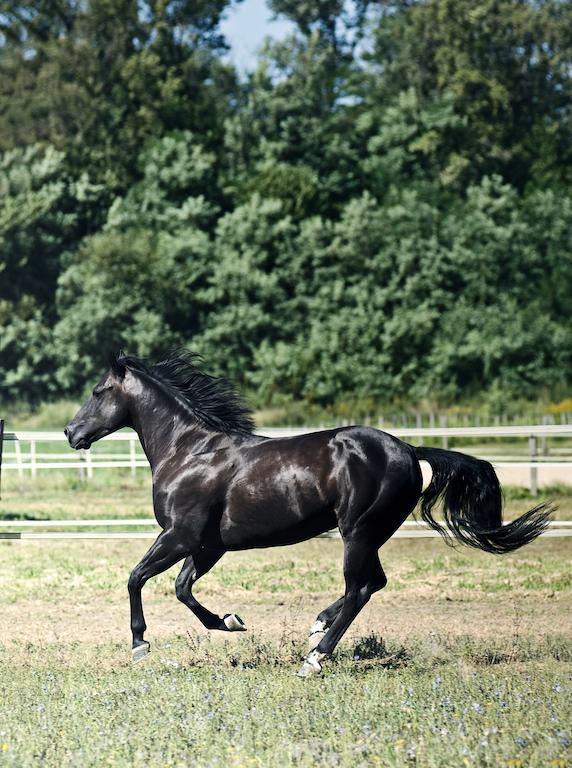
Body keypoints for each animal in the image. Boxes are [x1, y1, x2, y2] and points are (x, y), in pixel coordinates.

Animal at [65, 352, 552, 676]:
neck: (189, 451)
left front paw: (139, 644)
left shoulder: (179, 535)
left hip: (357, 532)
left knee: (358, 590)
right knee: (373, 584)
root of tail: (409, 450)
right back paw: (317, 628)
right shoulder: (207, 545)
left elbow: (136, 578)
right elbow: (184, 589)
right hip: (370, 534)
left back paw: (314, 659)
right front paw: (231, 622)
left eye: (98, 391)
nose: (70, 432)